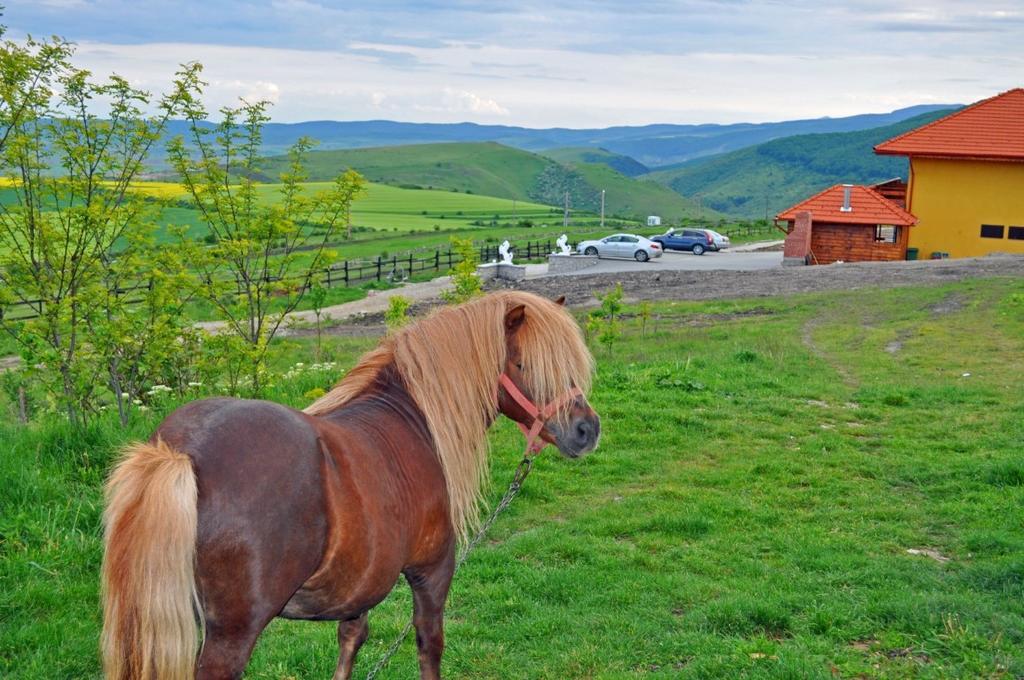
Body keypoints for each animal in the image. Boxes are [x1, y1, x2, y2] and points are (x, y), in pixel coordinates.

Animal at [101, 290, 598, 680]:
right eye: (524, 363)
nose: (586, 429)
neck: (412, 419)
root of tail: (180, 452)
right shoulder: (432, 570)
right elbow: (429, 644)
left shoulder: (360, 584)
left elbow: (352, 639)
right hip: (231, 636)